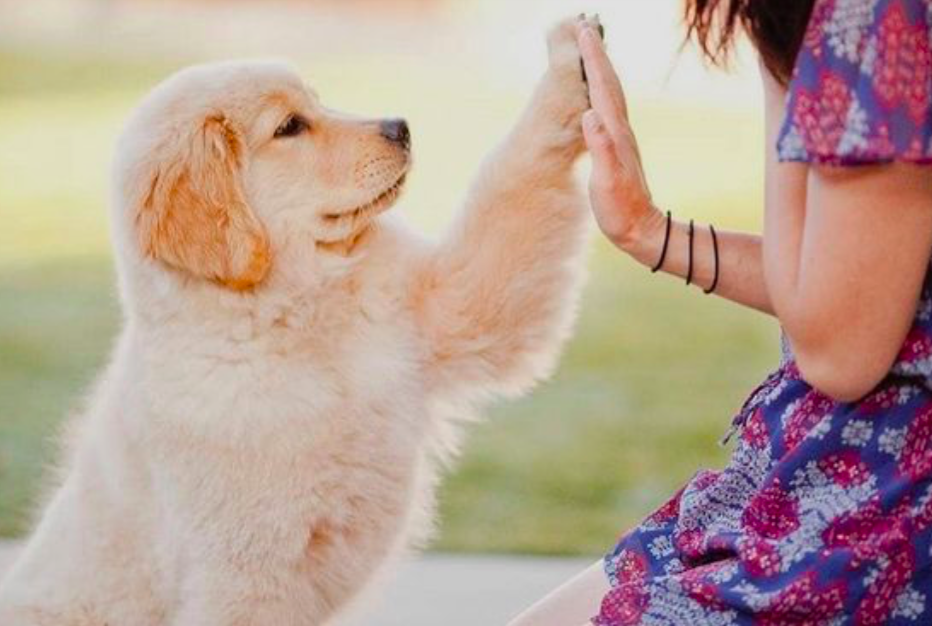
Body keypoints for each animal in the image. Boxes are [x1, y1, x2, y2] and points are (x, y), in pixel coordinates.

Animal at [0, 17, 595, 625]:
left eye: (317, 102)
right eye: (289, 127)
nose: (400, 127)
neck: (293, 315)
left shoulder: (453, 303)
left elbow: (515, 184)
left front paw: (571, 62)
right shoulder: (248, 578)